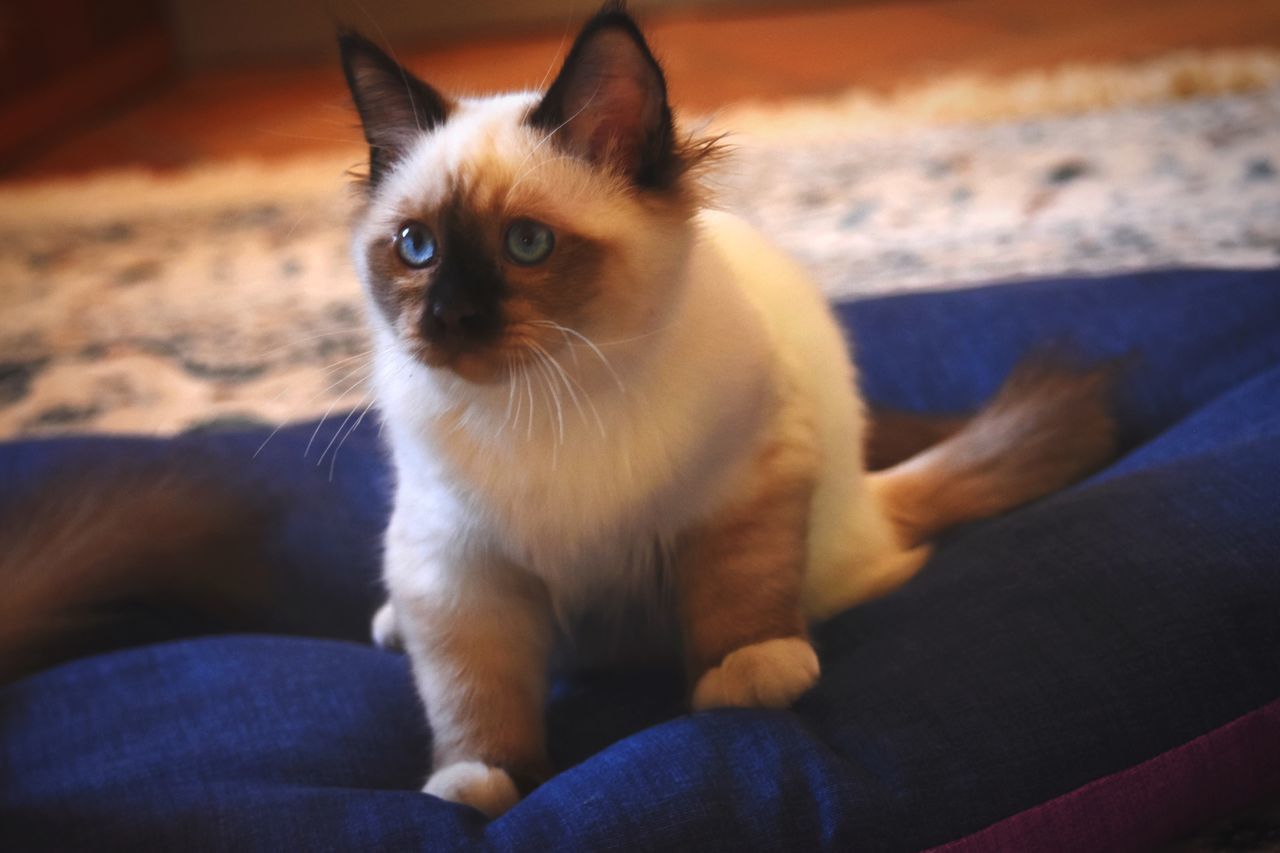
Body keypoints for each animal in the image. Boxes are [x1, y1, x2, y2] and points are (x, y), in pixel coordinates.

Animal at [335, 4, 1116, 819]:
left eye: (527, 243)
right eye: (416, 247)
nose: (448, 317)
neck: (549, 400)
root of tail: (870, 502)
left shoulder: (745, 482)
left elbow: (738, 588)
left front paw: (747, 675)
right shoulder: (457, 568)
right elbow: (474, 690)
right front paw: (479, 784)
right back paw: (392, 626)